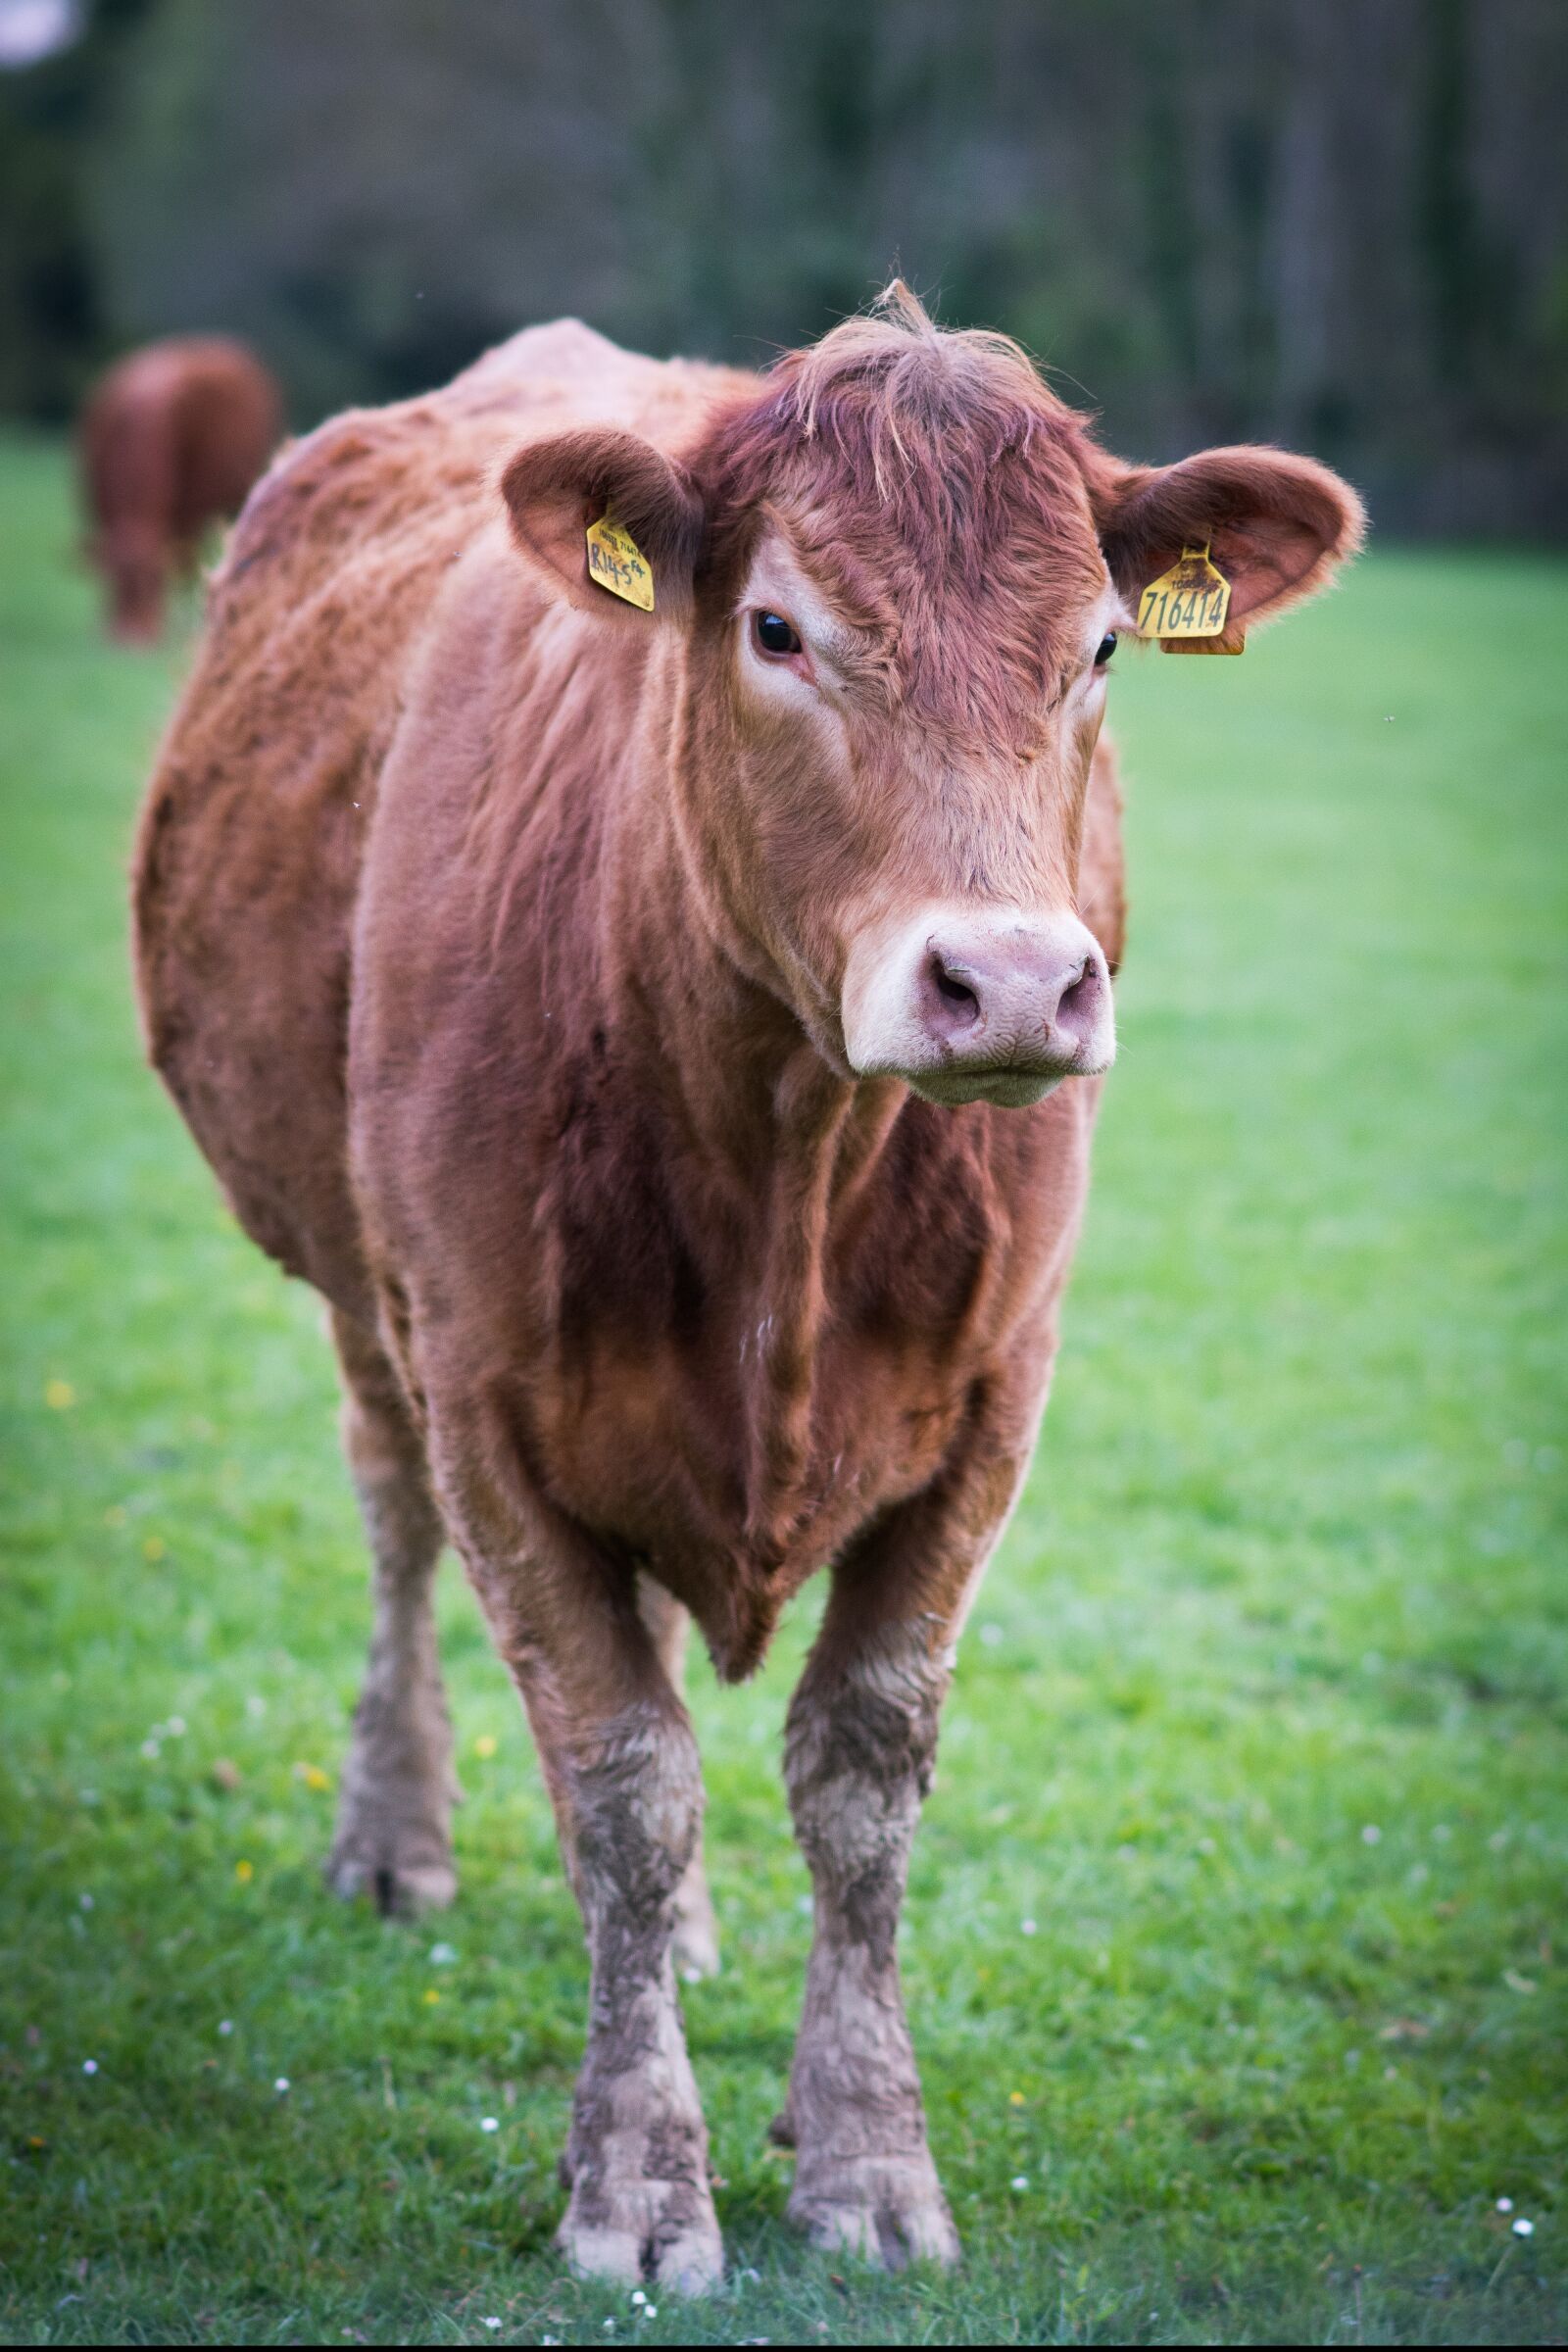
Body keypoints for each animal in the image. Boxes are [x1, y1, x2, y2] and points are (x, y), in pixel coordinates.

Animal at [132, 285, 1362, 2291]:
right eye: (778, 629)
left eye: (1103, 642)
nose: (1011, 984)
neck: (791, 1143)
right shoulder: (481, 1383)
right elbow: (627, 1771)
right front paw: (639, 2181)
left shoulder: (993, 1408)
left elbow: (859, 1780)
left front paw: (863, 2156)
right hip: (360, 1295)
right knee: (401, 1527)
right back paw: (396, 1837)